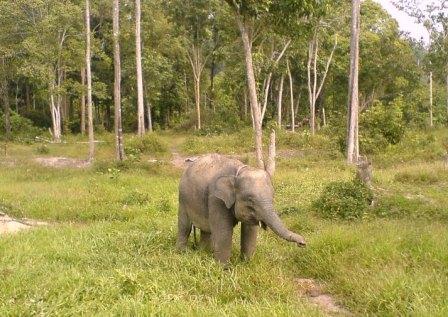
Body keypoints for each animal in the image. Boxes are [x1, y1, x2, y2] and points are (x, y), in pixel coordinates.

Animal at [177, 152, 306, 262]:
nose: (303, 243)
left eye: (273, 196)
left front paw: (247, 263)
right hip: (183, 198)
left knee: (206, 230)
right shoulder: (216, 199)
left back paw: (203, 252)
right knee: (185, 226)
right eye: (250, 200)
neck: (239, 171)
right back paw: (182, 253)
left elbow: (250, 230)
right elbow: (223, 231)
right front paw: (224, 269)